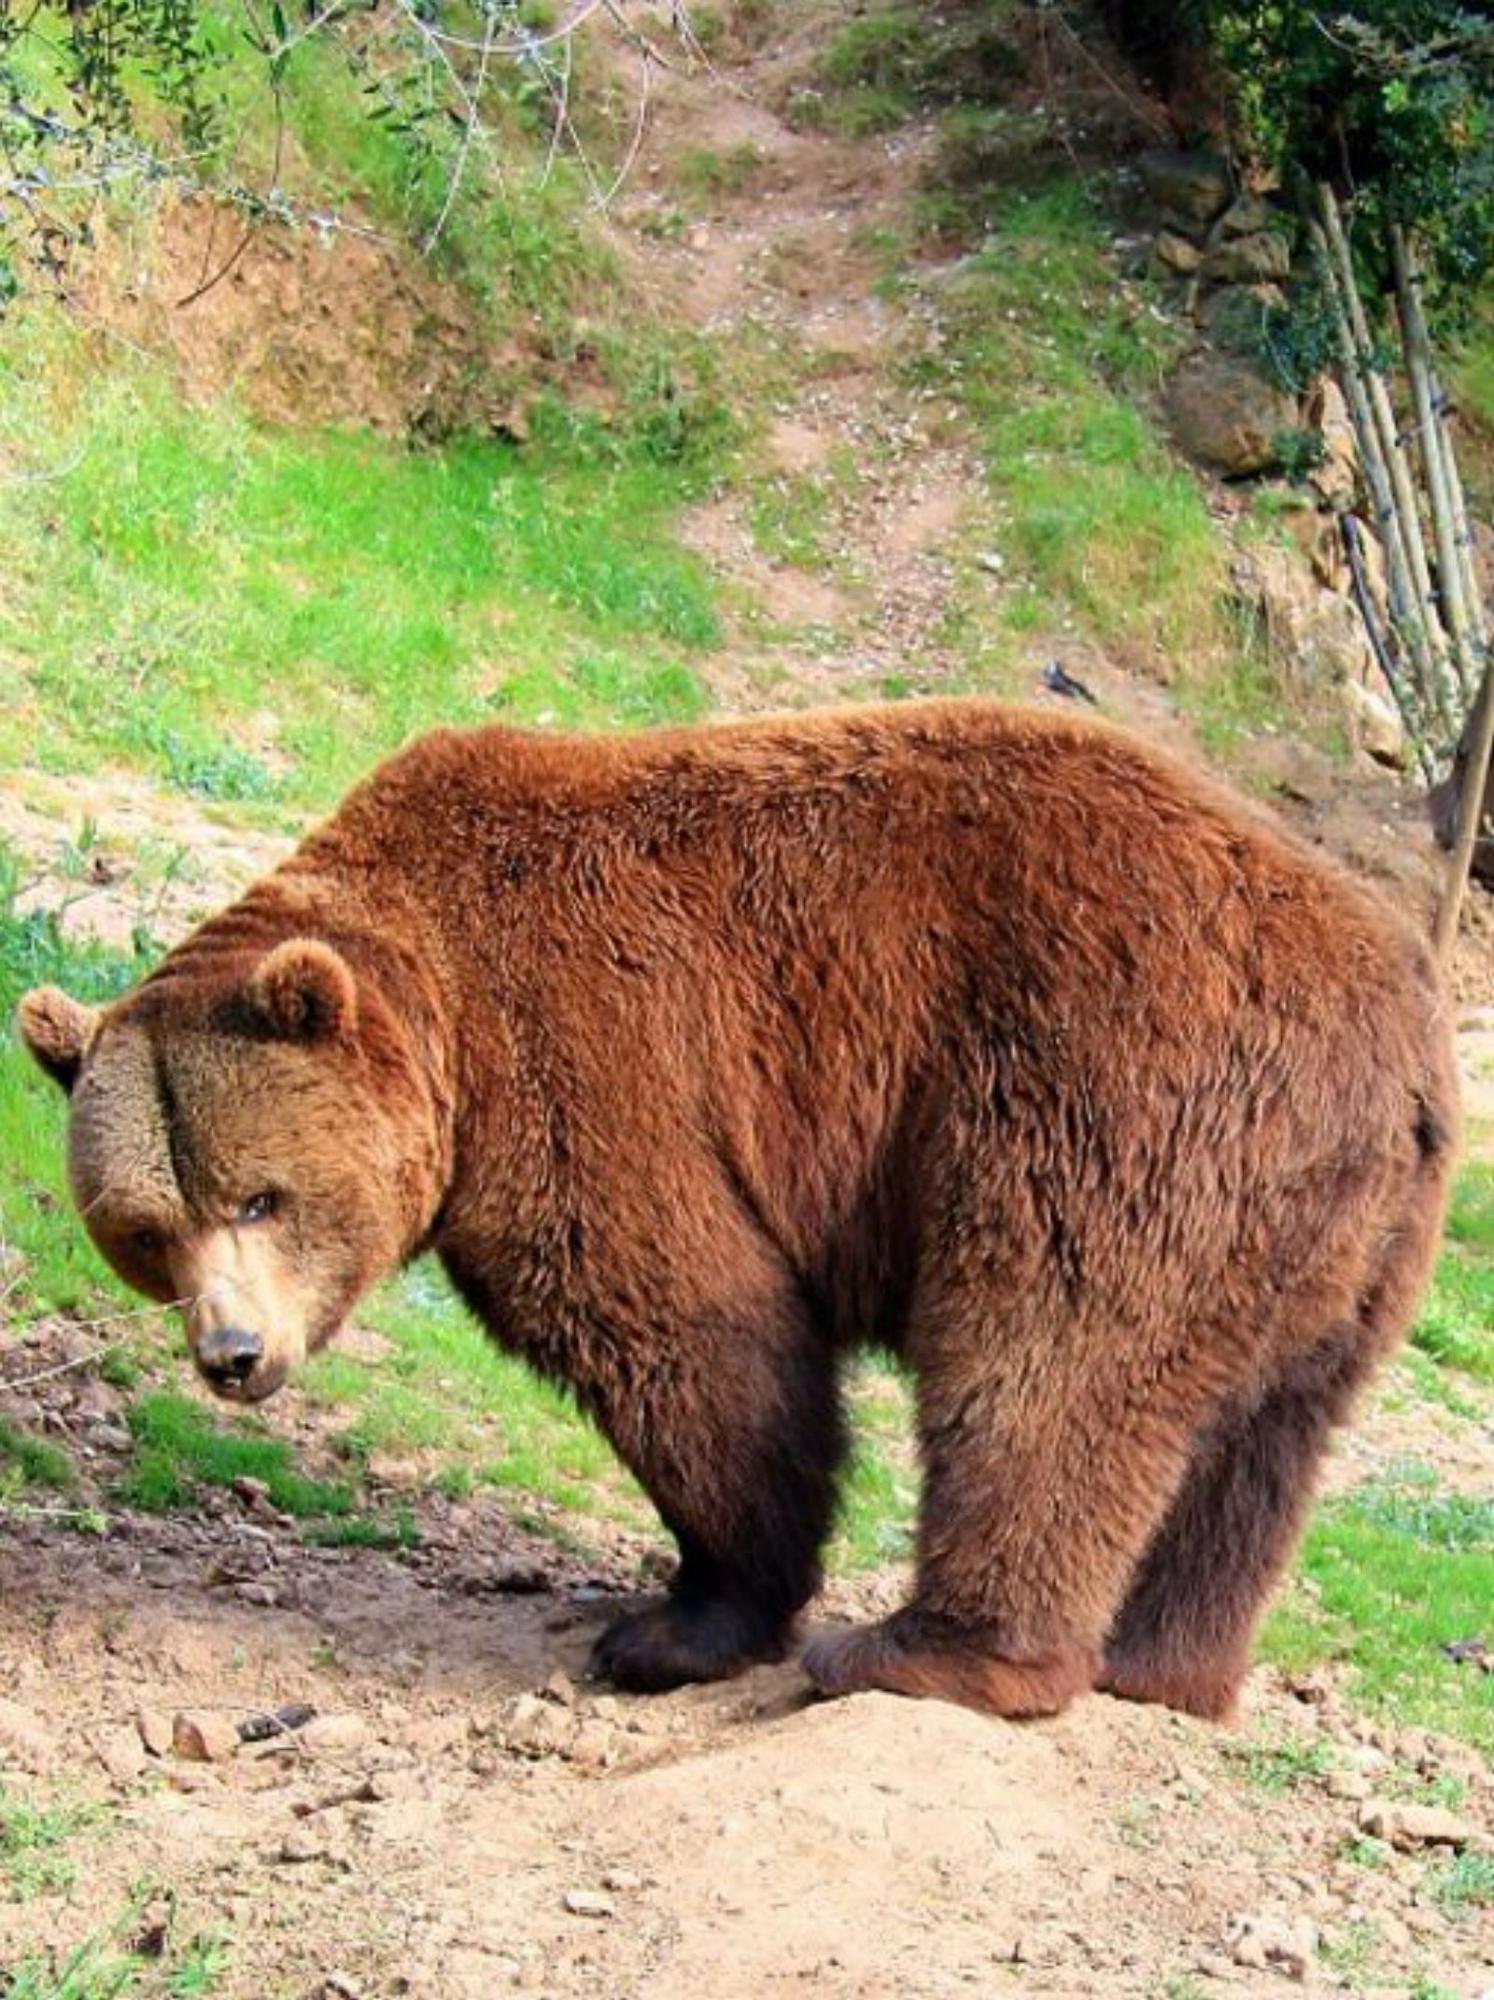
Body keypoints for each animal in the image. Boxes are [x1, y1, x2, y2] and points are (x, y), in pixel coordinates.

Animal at [14, 700, 1464, 1720]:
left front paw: (676, 1622)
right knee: (1264, 1443)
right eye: (146, 1230)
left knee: (1044, 1366)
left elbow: (692, 1334)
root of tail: (1402, 1028)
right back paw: (1164, 1665)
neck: (447, 1018)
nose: (233, 1355)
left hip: (1116, 1086)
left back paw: (925, 1650)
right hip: (1344, 1231)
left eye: (261, 1193)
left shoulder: (597, 1061)